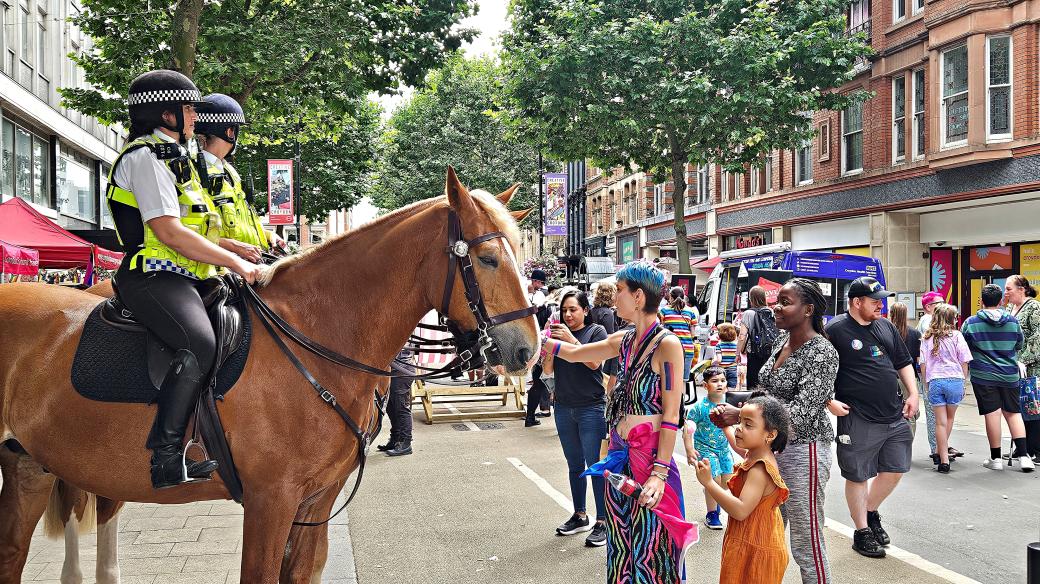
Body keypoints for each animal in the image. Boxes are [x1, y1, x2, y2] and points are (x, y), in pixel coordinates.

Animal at [0, 166, 536, 577]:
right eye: (488, 258)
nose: (527, 349)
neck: (317, 337)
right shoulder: (269, 502)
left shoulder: (314, 502)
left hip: (32, 466)